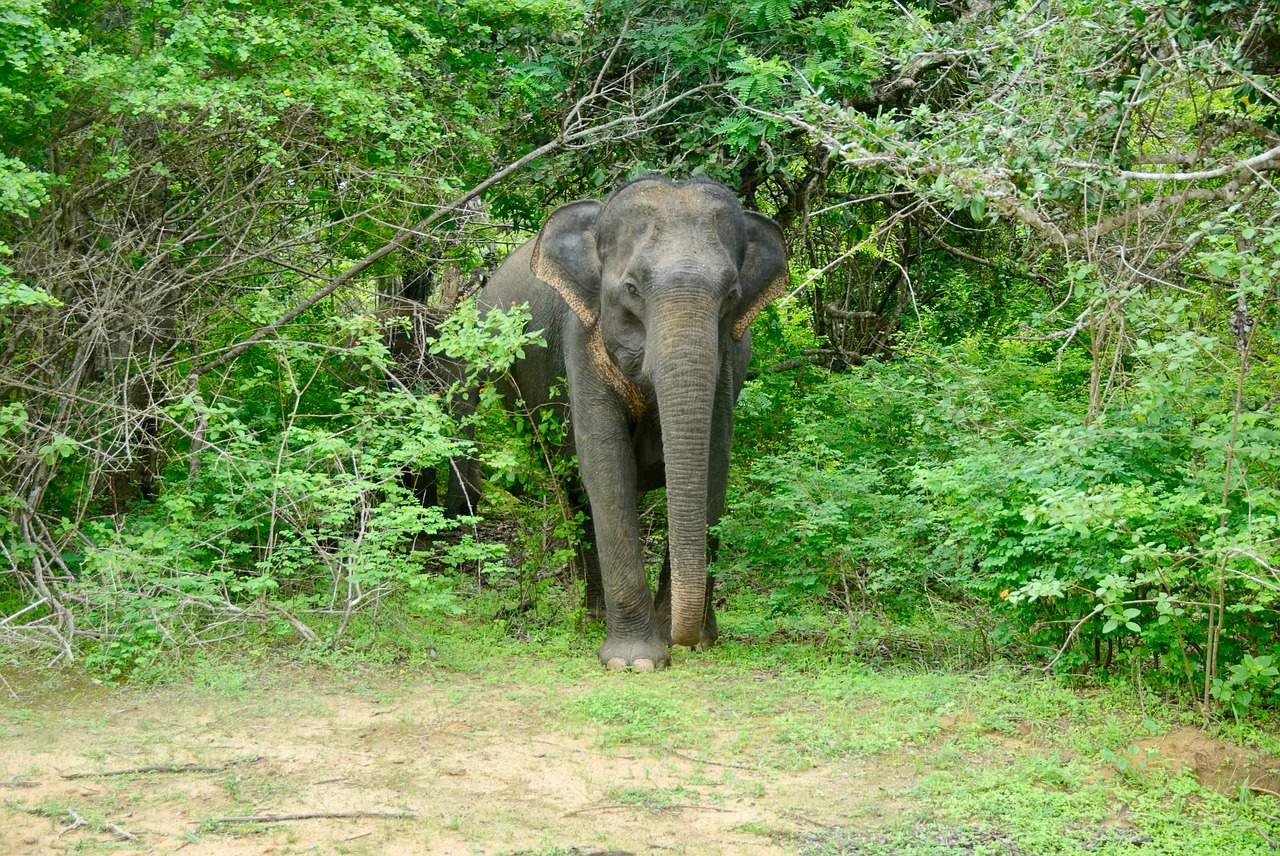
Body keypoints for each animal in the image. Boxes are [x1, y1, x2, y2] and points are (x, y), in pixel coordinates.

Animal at [450, 175, 788, 665]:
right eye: (632, 288)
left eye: (732, 295)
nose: (680, 639)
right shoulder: (581, 338)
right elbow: (607, 468)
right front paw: (636, 660)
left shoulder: (727, 361)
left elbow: (715, 466)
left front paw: (698, 641)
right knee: (574, 493)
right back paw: (592, 618)